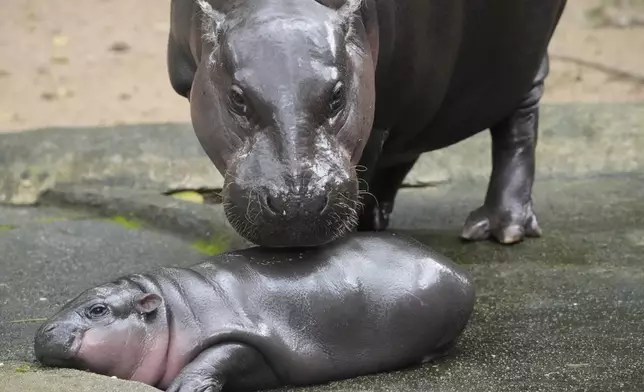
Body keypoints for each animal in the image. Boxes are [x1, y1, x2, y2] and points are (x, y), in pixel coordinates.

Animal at [36, 231, 478, 390]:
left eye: (97, 310)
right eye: (73, 298)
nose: (42, 333)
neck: (170, 310)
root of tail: (459, 270)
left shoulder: (248, 337)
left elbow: (220, 356)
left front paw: (184, 387)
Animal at [167, 0, 568, 247]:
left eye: (337, 95)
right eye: (237, 98)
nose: (298, 202)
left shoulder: (377, 109)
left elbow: (367, 163)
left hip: (521, 65)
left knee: (518, 129)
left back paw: (500, 228)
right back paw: (378, 219)